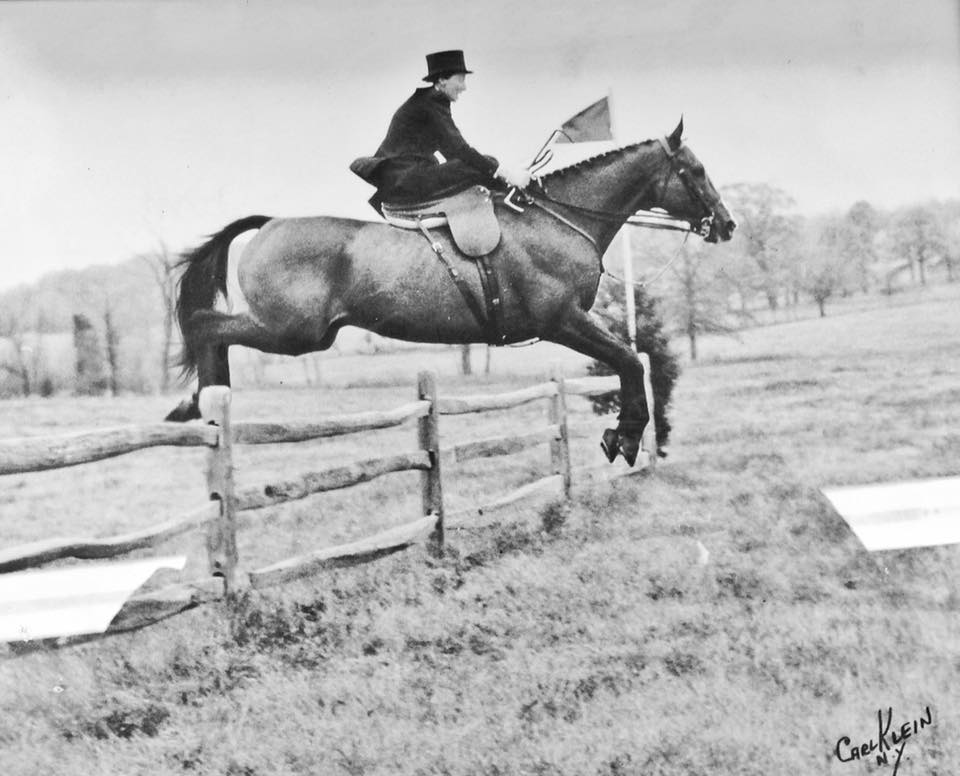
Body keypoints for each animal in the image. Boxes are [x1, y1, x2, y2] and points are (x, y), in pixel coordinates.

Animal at [165, 118, 736, 464]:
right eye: (696, 171)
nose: (727, 225)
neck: (560, 220)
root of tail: (269, 224)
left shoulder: (569, 322)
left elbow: (629, 359)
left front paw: (626, 434)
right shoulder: (561, 320)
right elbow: (630, 361)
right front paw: (626, 436)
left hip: (303, 334)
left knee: (211, 331)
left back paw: (203, 405)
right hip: (292, 331)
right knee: (206, 326)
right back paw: (200, 404)